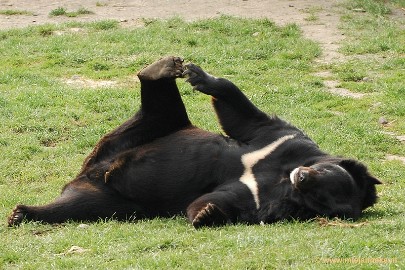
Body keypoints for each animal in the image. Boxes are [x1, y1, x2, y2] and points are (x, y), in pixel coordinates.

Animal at [7, 56, 380, 228]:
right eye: (324, 173)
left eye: (319, 198)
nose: (301, 177)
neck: (279, 175)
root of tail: (93, 170)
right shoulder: (283, 141)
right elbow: (244, 116)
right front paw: (199, 76)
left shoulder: (267, 199)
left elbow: (231, 199)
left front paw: (206, 213)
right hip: (156, 131)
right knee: (162, 107)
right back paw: (162, 67)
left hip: (114, 202)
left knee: (75, 208)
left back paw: (21, 213)